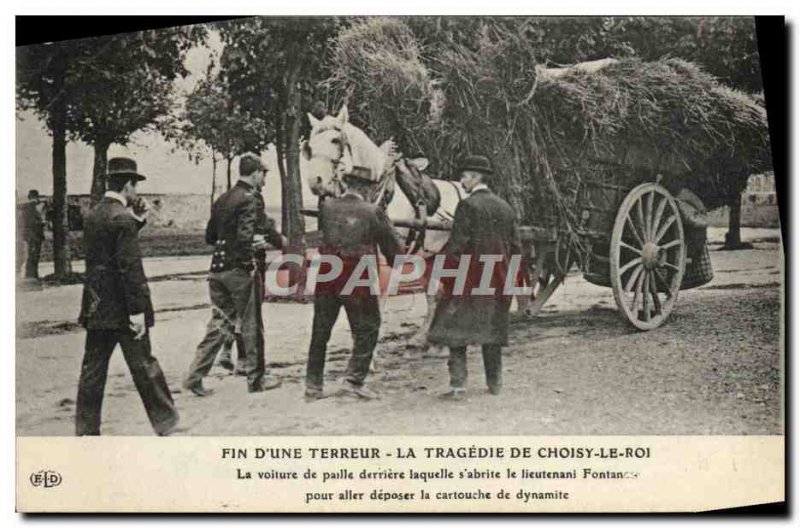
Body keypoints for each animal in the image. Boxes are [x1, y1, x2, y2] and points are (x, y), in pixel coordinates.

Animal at [300, 104, 462, 348]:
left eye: (335, 140)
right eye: (310, 144)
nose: (315, 181)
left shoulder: (387, 259)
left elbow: (379, 301)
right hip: (430, 256)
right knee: (434, 295)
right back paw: (422, 338)